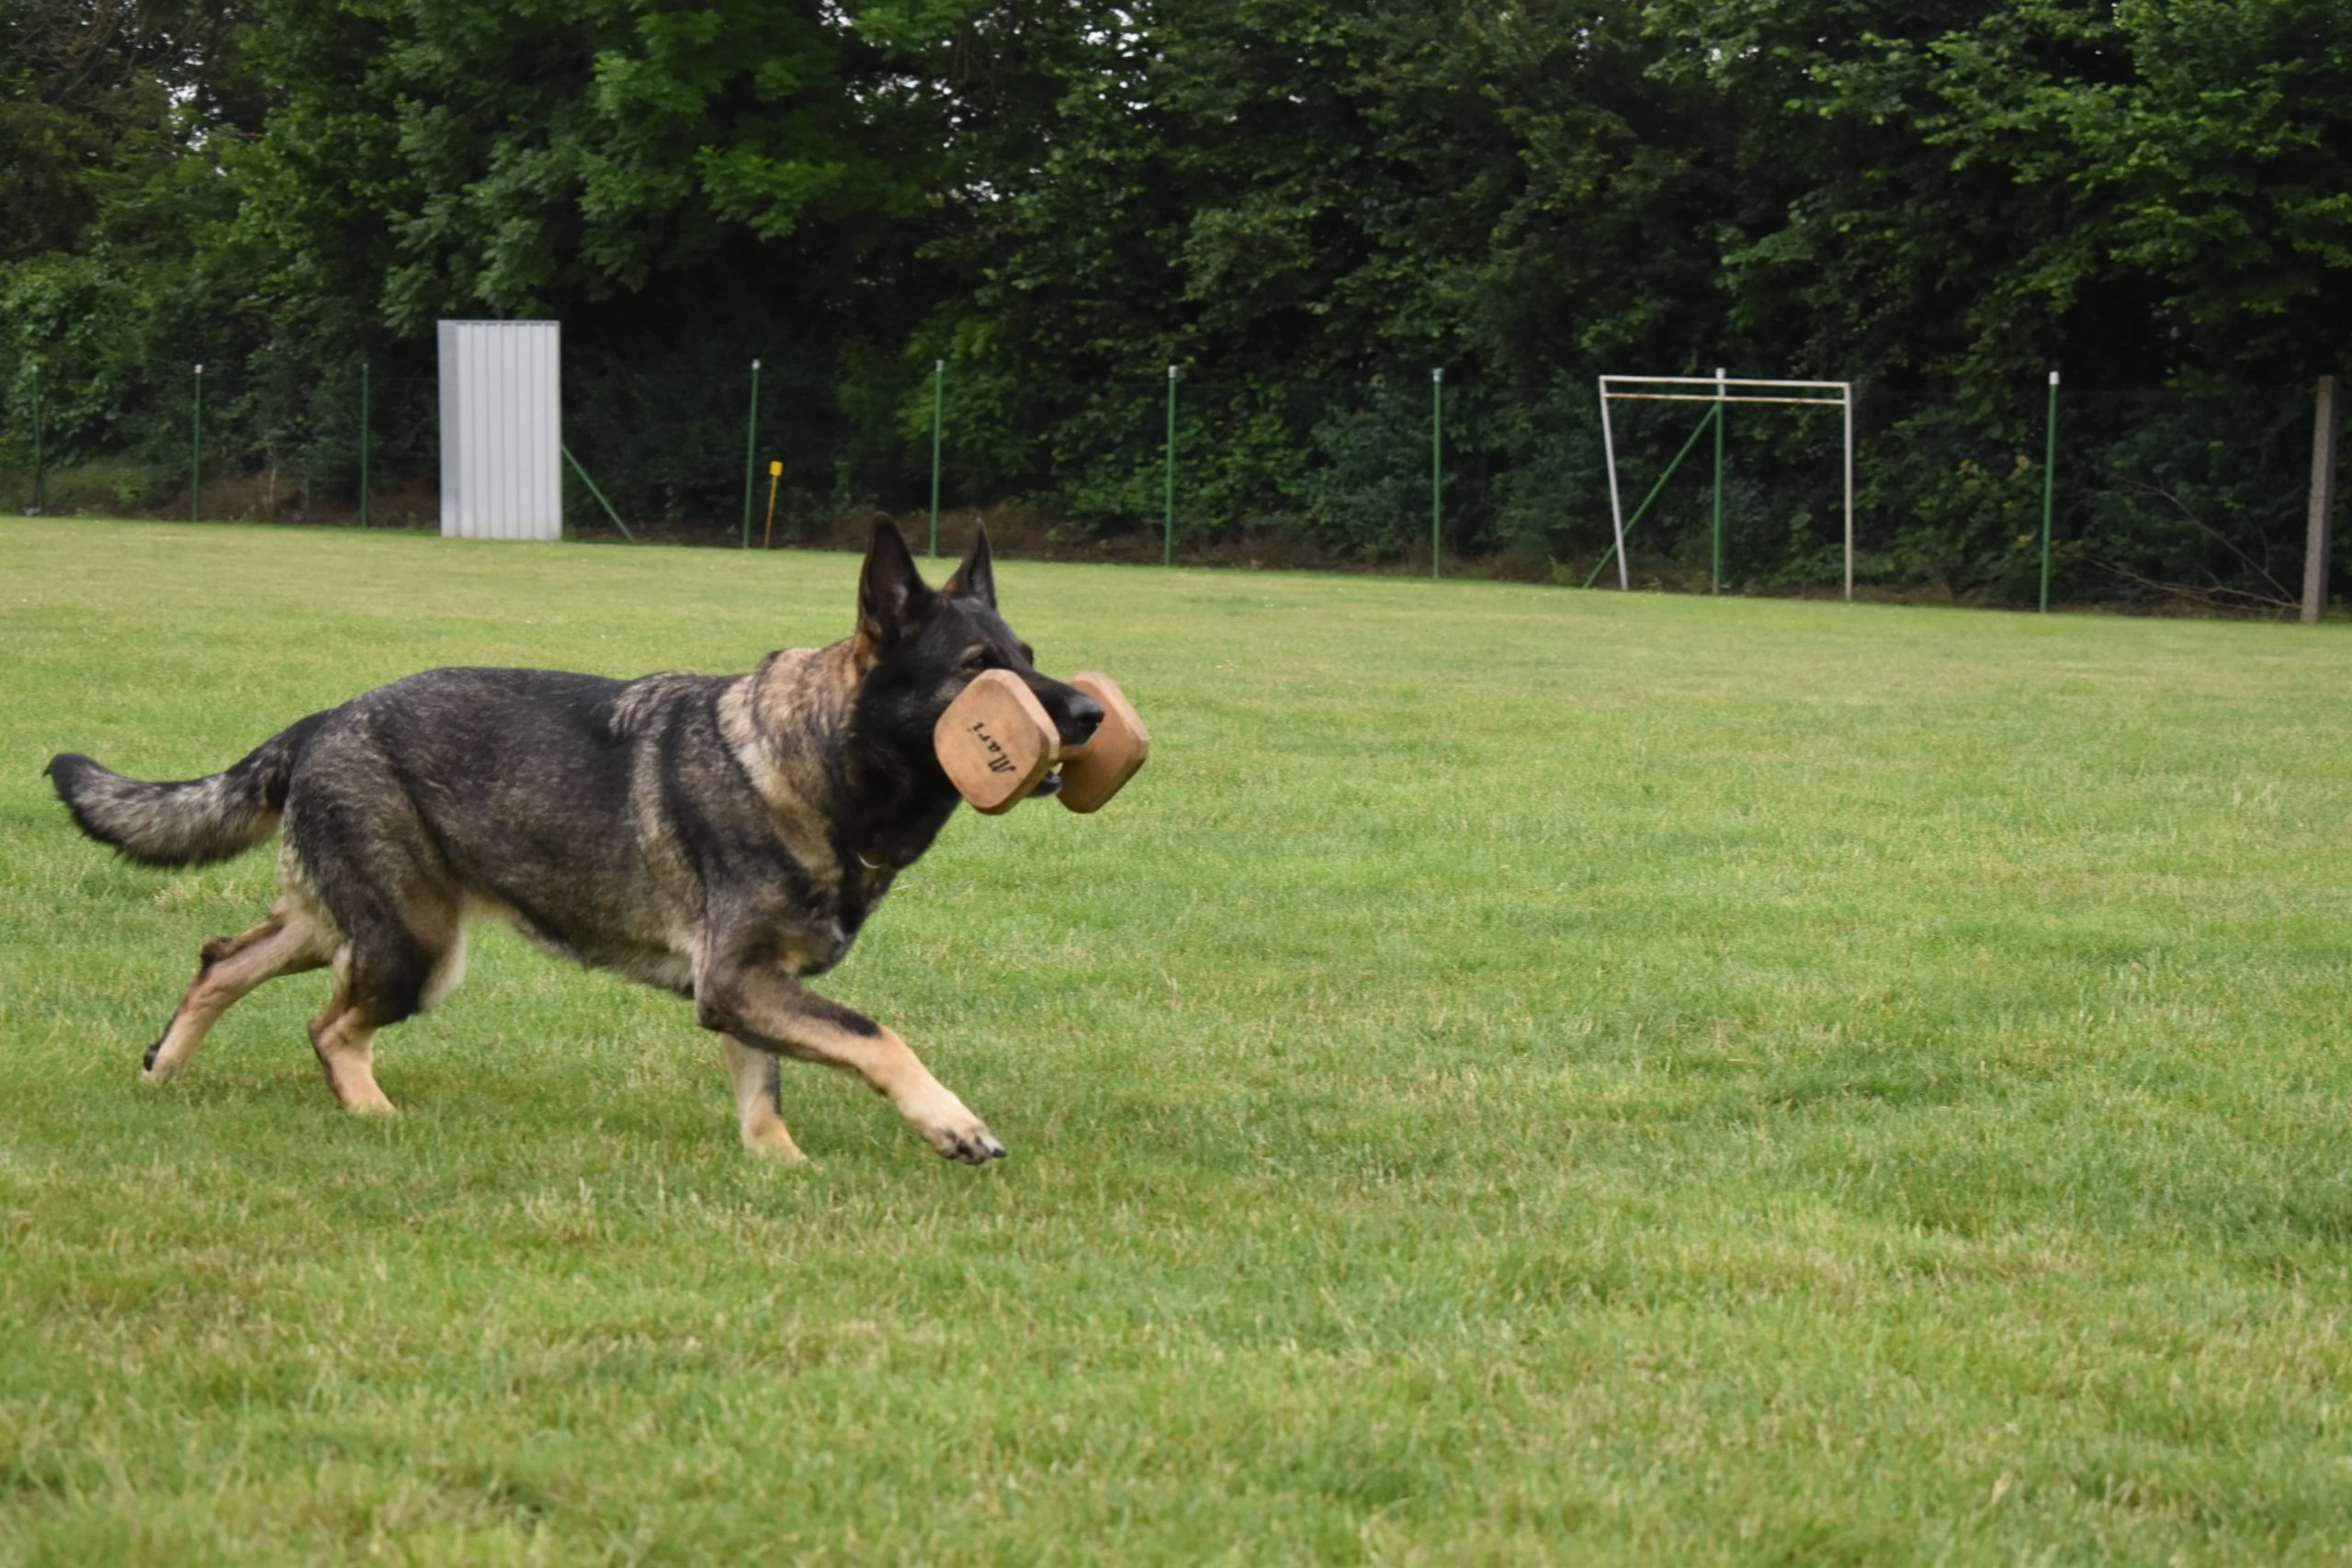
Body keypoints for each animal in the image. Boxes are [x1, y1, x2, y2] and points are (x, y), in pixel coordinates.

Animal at [39, 526, 1101, 1166]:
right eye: (979, 670)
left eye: (1031, 661)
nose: (1091, 714)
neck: (816, 759)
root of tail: (322, 720)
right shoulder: (740, 981)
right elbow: (876, 1035)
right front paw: (951, 1123)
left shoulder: (749, 989)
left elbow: (765, 1090)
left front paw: (780, 1168)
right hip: (415, 947)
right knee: (327, 1027)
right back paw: (375, 1117)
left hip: (345, 924)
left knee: (221, 959)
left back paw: (164, 1071)